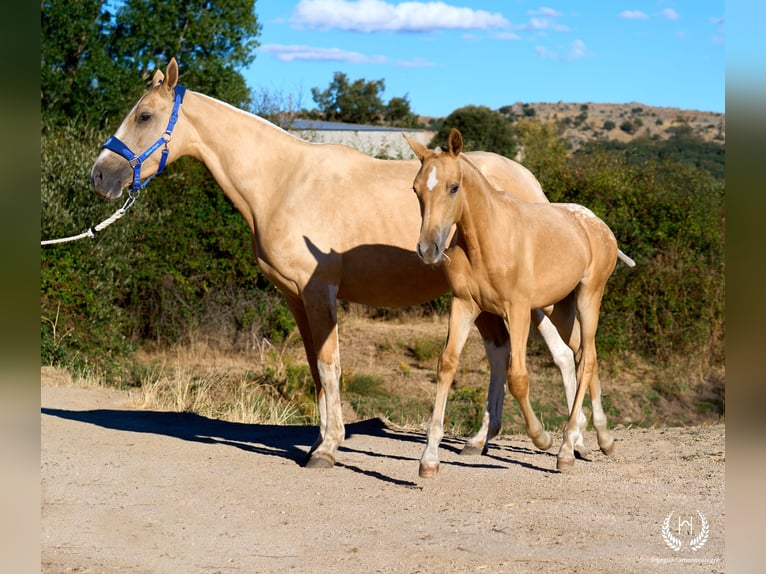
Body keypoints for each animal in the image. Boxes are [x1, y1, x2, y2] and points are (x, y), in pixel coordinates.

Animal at [91, 58, 586, 469]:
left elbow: (330, 365)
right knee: (504, 354)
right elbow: (314, 367)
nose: (99, 175)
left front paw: (327, 449)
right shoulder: (294, 296)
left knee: (565, 357)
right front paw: (321, 439)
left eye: (145, 116)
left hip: (528, 300)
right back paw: (482, 441)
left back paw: (573, 443)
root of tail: (533, 185)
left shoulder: (318, 291)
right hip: (482, 300)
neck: (283, 181)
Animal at [405, 128, 622, 475]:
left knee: (586, 358)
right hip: (560, 310)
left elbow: (518, 377)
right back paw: (602, 439)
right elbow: (447, 364)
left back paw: (565, 449)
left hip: (590, 296)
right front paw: (429, 458)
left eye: (454, 187)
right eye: (416, 189)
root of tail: (596, 223)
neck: (487, 239)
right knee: (585, 355)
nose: (428, 249)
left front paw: (542, 437)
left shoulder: (517, 310)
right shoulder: (464, 305)